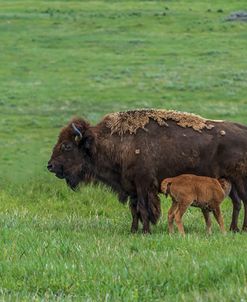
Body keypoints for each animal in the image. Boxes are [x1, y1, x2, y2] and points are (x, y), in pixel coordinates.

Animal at [46, 110, 247, 234]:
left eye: (67, 146)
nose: (50, 166)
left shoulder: (143, 185)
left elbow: (143, 208)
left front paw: (145, 231)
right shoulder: (131, 187)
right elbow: (134, 209)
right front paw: (133, 230)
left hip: (239, 179)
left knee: (243, 201)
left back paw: (242, 229)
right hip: (230, 181)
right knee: (238, 202)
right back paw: (234, 228)